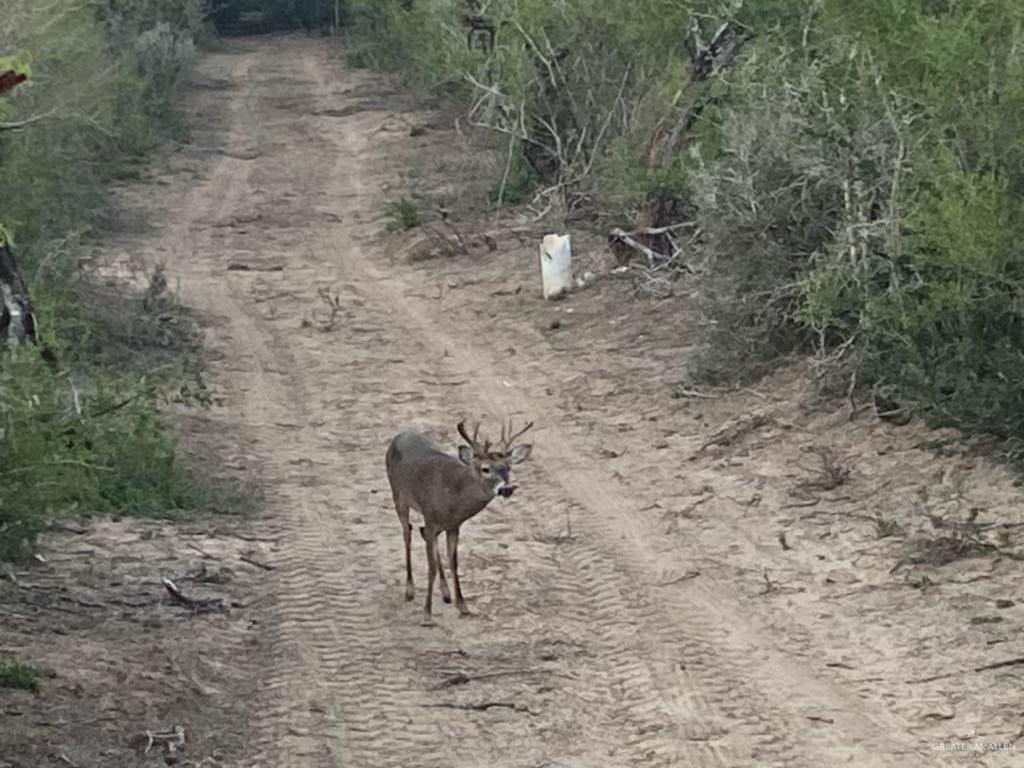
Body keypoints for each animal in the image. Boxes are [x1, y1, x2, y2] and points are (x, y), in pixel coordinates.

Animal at [385, 417, 536, 622]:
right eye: (485, 469)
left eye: (508, 468)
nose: (506, 489)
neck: (453, 498)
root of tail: (400, 436)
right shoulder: (431, 517)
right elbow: (431, 568)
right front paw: (427, 614)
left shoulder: (454, 526)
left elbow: (454, 563)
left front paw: (463, 606)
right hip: (398, 495)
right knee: (407, 533)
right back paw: (409, 590)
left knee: (421, 533)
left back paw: (445, 591)